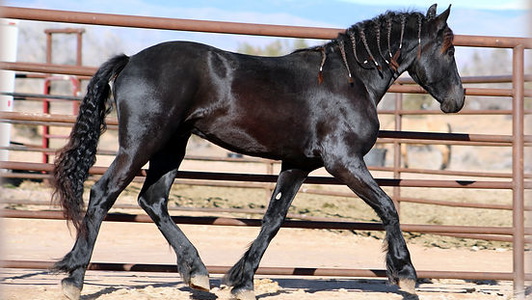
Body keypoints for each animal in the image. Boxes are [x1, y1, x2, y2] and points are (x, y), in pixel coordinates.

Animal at [52, 3, 464, 298]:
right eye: (449, 49)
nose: (457, 101)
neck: (350, 80)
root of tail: (130, 61)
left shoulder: (298, 165)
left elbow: (273, 220)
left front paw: (242, 280)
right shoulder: (343, 161)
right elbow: (387, 206)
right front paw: (405, 273)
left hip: (171, 147)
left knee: (153, 200)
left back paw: (197, 273)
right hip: (142, 142)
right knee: (103, 193)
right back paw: (74, 278)